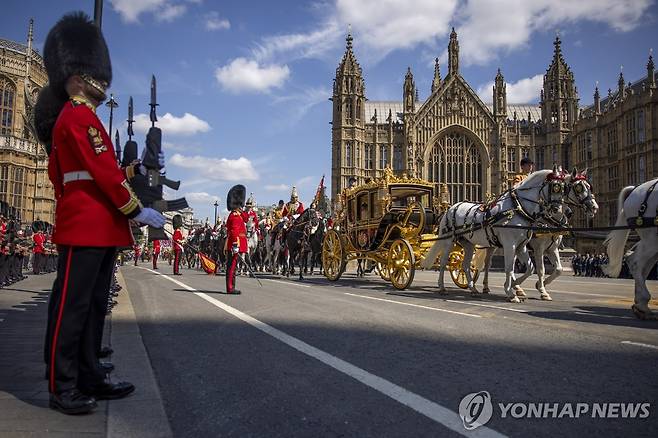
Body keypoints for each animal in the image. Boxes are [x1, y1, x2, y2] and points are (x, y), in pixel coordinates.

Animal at [422, 168, 568, 302]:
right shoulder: (512, 245)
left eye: (564, 189)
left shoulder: (522, 246)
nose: (557, 209)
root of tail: (451, 207)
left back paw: (473, 289)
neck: (519, 208)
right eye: (555, 187)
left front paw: (515, 286)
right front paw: (511, 292)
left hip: (469, 243)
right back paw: (442, 287)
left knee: (466, 265)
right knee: (443, 263)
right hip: (448, 240)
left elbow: (531, 268)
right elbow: (510, 268)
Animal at [480, 168, 596, 302]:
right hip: (492, 245)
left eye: (589, 186)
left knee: (511, 265)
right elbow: (541, 269)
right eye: (578, 188)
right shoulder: (538, 248)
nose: (594, 207)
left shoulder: (552, 248)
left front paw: (540, 285)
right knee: (488, 264)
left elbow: (559, 269)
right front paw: (543, 291)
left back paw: (517, 288)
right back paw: (487, 287)